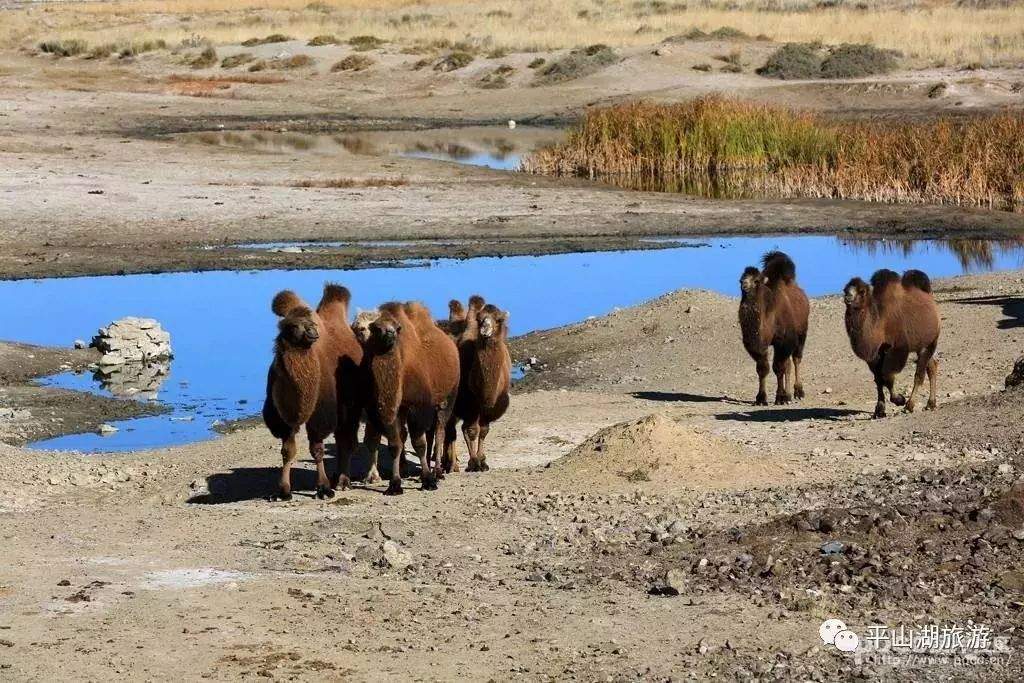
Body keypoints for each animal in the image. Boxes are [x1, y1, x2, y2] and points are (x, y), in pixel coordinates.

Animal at [264, 284, 364, 501]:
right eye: (293, 326)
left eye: (311, 324)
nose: (312, 332)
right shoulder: (283, 418)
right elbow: (287, 451)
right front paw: (283, 491)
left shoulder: (321, 414)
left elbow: (317, 450)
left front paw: (323, 488)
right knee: (342, 439)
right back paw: (338, 478)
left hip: (350, 408)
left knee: (347, 440)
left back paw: (342, 481)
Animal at [358, 301, 458, 493]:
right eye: (376, 328)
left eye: (397, 328)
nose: (389, 333)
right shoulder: (391, 410)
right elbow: (395, 444)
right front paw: (395, 484)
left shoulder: (417, 406)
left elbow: (419, 443)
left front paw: (428, 480)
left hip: (448, 398)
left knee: (440, 431)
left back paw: (438, 471)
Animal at [741, 253, 811, 409]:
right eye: (741, 279)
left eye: (756, 281)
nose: (744, 286)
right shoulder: (760, 345)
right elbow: (763, 368)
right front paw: (761, 398)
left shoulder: (784, 341)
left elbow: (778, 368)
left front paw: (780, 397)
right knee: (788, 364)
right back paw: (789, 393)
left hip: (802, 332)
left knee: (796, 359)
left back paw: (798, 392)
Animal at [843, 266, 937, 417]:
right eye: (845, 289)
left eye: (862, 291)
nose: (848, 297)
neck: (879, 324)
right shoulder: (874, 355)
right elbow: (878, 379)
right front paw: (880, 409)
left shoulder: (897, 348)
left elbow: (887, 376)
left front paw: (899, 400)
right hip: (921, 344)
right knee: (932, 366)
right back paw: (930, 404)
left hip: (929, 342)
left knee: (919, 374)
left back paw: (909, 406)